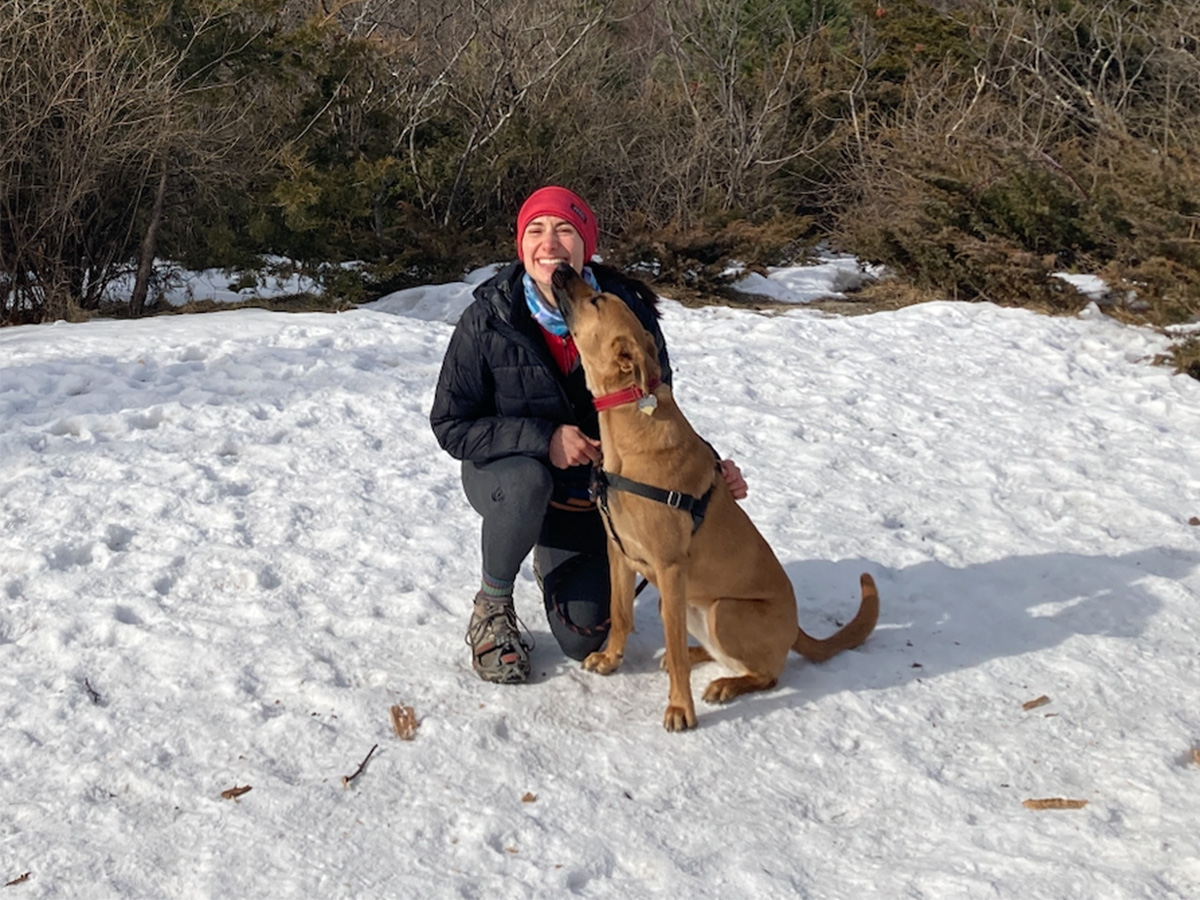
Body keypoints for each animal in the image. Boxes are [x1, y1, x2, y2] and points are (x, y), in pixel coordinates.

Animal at [549, 264, 878, 729]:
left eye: (596, 299)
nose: (561, 268)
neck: (629, 428)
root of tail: (796, 628)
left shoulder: (669, 567)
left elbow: (660, 643)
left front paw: (679, 708)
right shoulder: (620, 554)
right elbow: (620, 613)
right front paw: (611, 658)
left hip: (722, 609)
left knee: (766, 674)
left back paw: (724, 684)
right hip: (688, 605)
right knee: (713, 653)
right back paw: (692, 655)